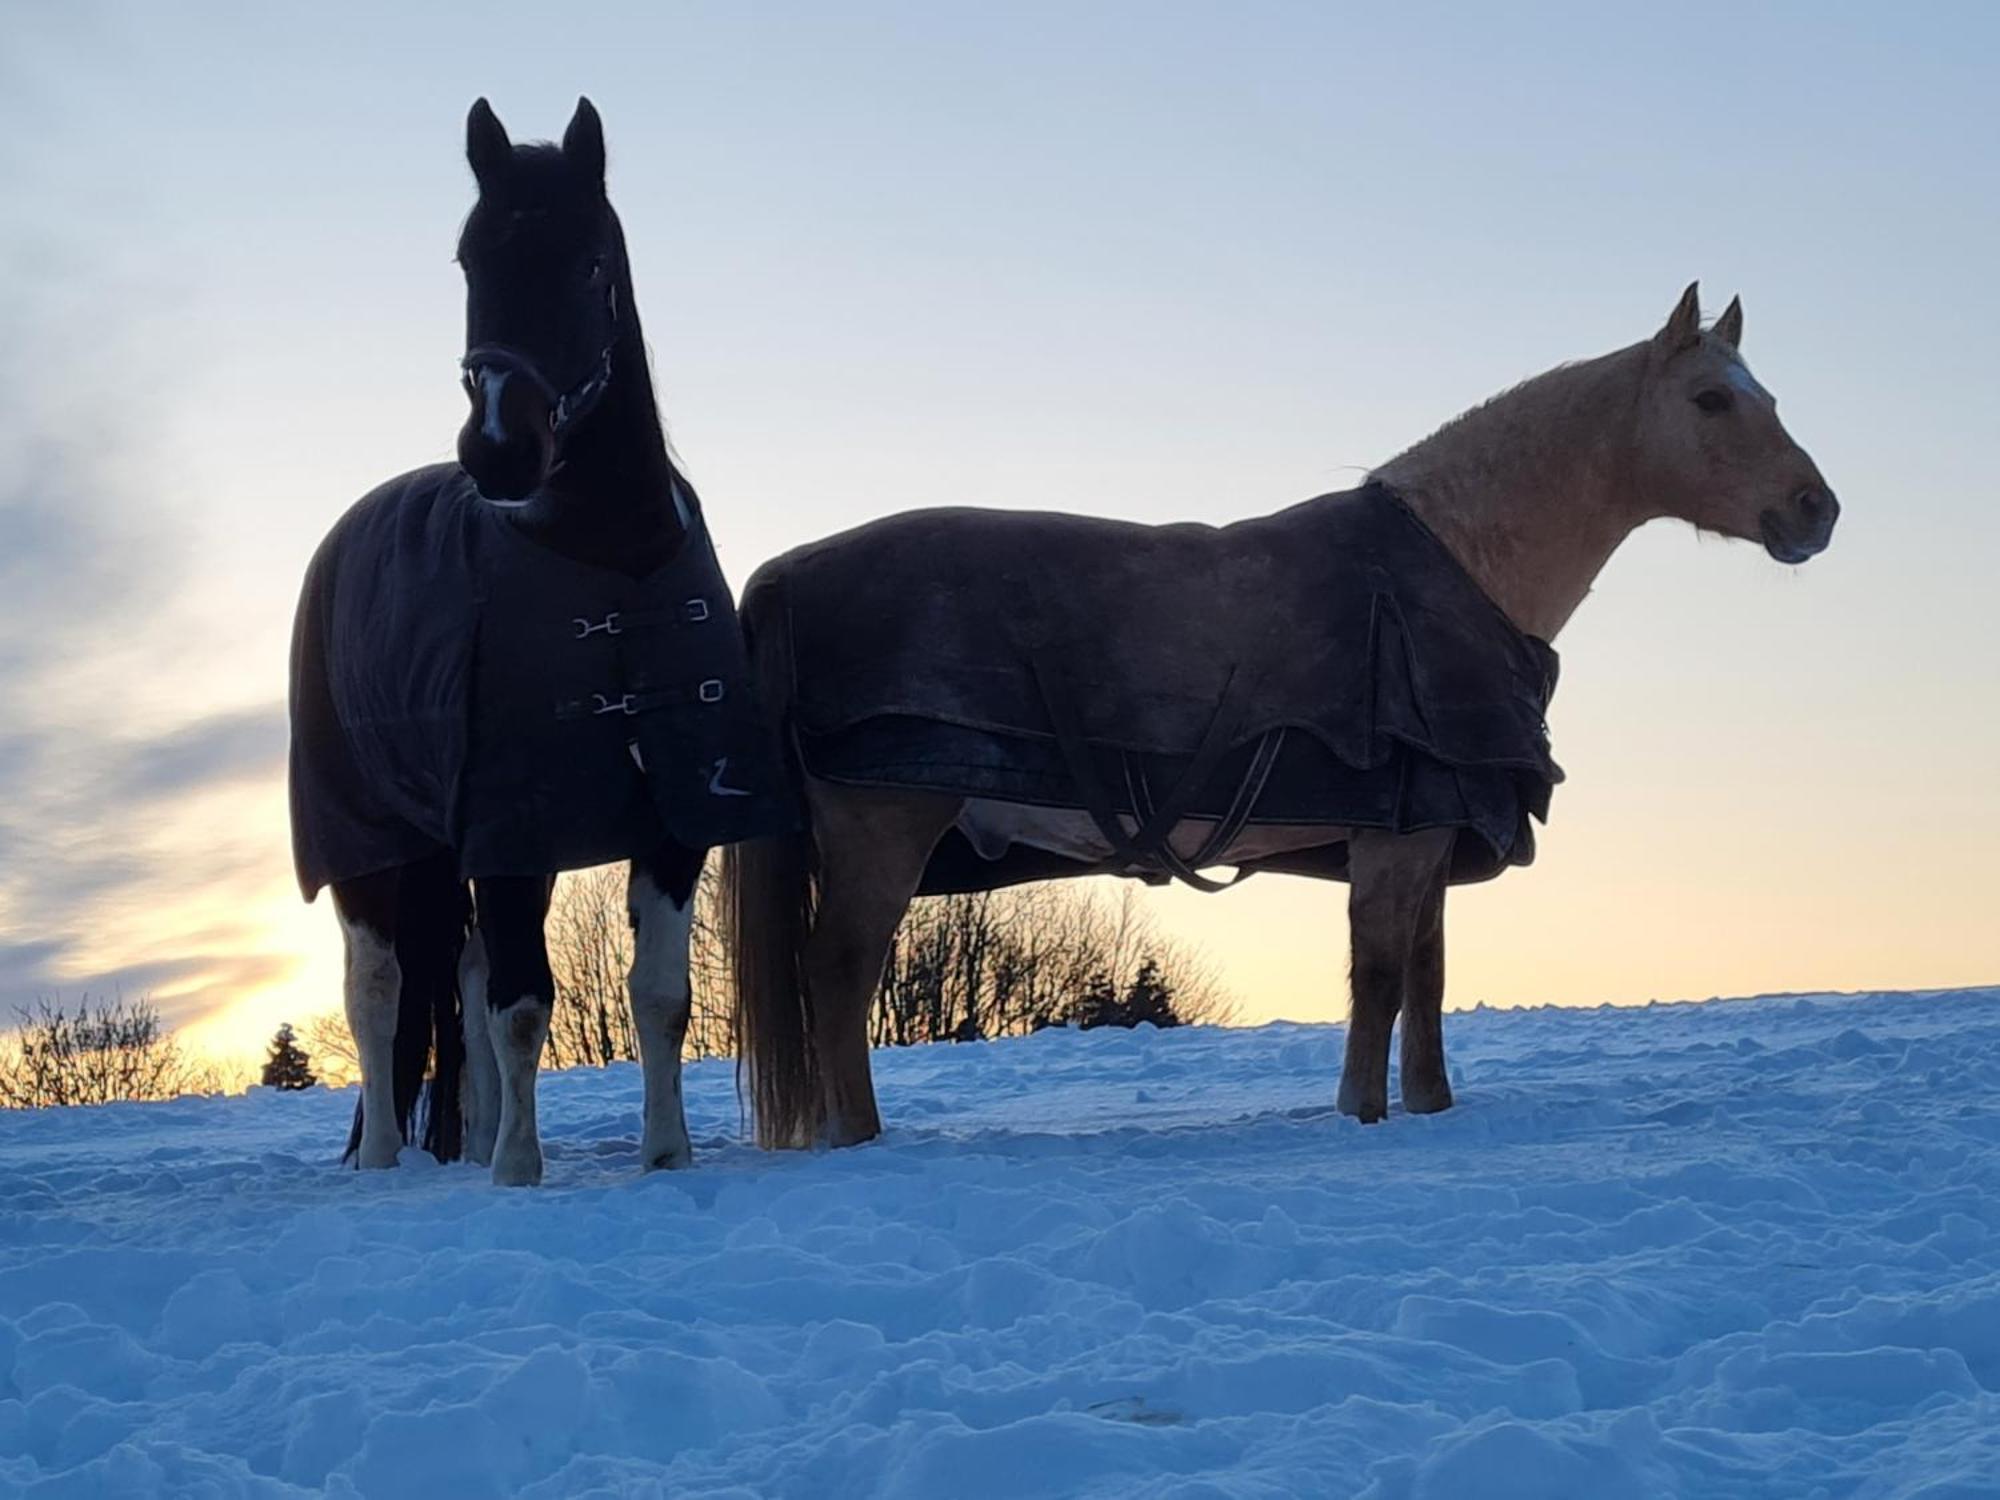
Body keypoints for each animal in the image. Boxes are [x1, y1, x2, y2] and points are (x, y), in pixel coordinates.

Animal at [290, 100, 788, 1192]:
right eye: (470, 258)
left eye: (588, 258)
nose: (498, 450)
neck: (608, 562)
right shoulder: (510, 823)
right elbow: (522, 1004)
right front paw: (520, 1171)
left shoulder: (668, 821)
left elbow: (657, 998)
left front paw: (664, 1153)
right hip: (369, 846)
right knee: (379, 991)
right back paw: (387, 1160)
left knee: (463, 974)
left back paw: (470, 1140)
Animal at [724, 288, 1840, 1144]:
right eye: (1709, 399)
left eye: (1769, 397)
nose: (1815, 511)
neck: (1451, 571)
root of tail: (786, 572)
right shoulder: (1395, 841)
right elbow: (1378, 979)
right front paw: (1362, 1117)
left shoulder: (1429, 835)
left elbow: (1426, 981)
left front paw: (1427, 1108)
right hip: (883, 826)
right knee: (838, 972)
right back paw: (857, 1139)